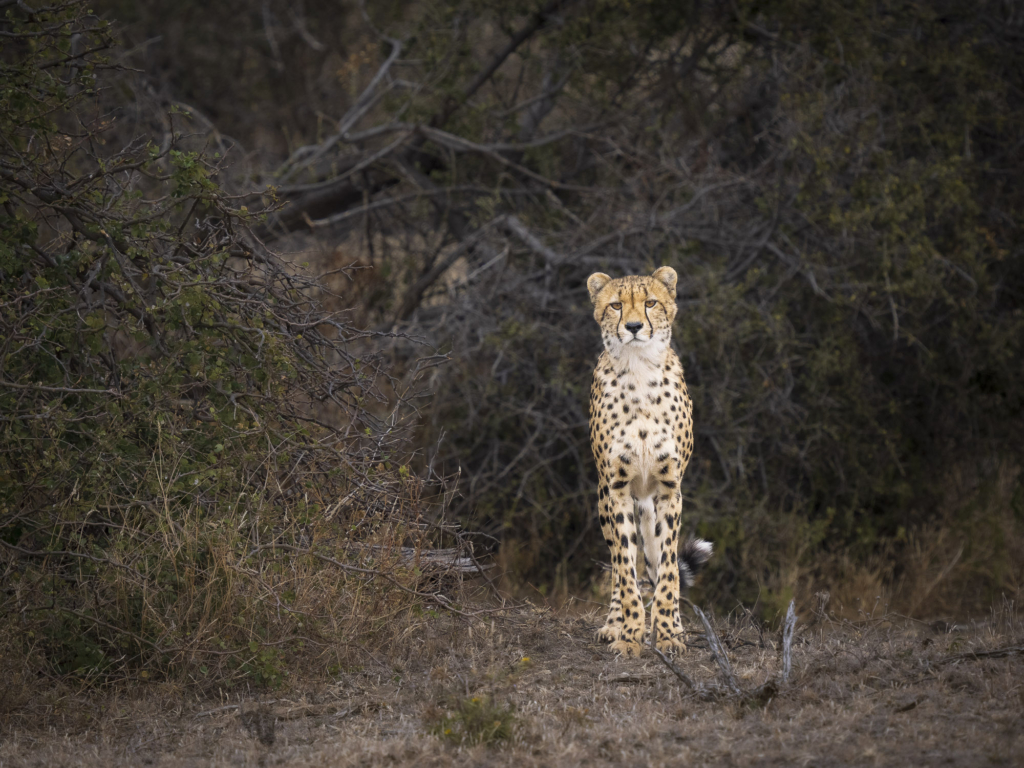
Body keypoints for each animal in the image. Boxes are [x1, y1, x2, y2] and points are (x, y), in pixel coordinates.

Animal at [589, 268, 716, 659]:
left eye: (650, 302)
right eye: (616, 305)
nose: (633, 326)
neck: (639, 370)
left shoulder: (669, 489)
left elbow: (668, 571)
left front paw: (669, 633)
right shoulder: (616, 489)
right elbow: (626, 569)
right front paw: (630, 636)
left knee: (662, 565)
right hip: (607, 501)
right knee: (621, 564)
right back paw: (614, 625)